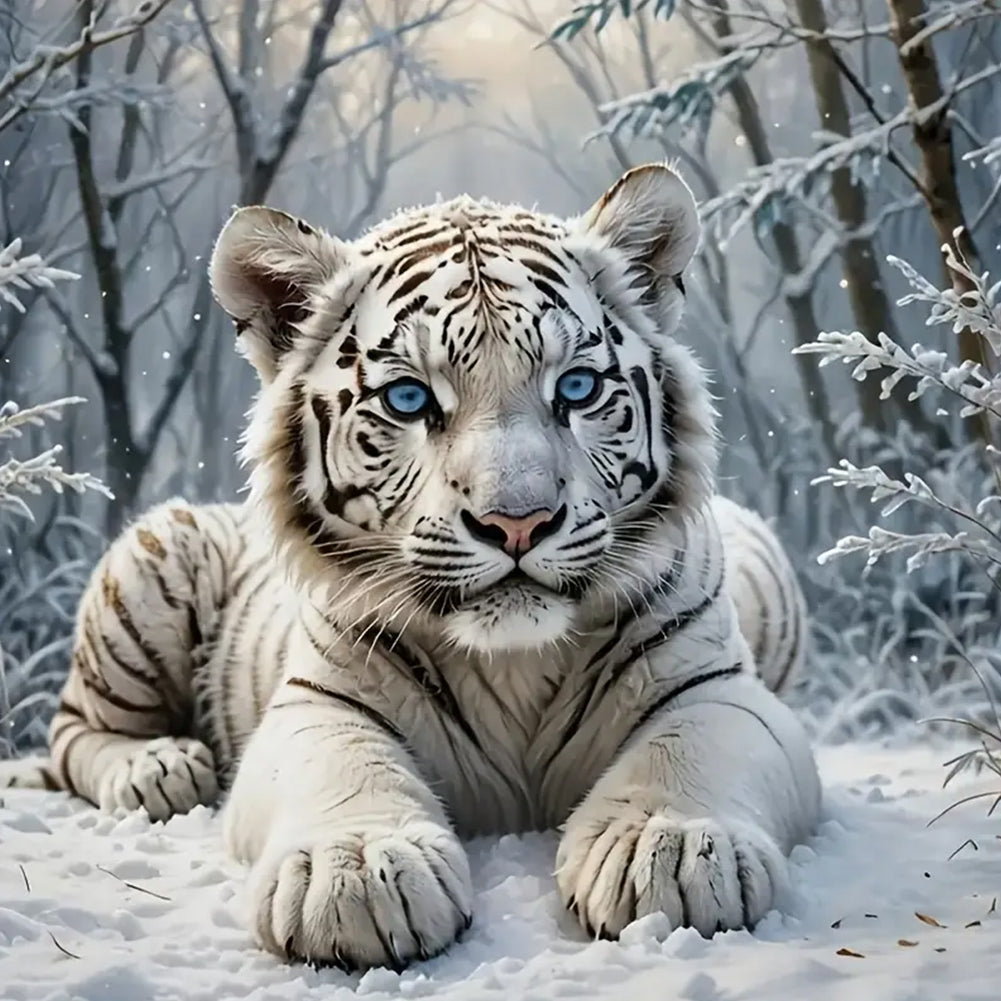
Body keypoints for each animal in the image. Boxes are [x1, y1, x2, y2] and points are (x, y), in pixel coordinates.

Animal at [1, 164, 820, 971]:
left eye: (577, 388)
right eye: (407, 397)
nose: (517, 521)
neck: (514, 661)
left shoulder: (717, 687)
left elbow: (687, 751)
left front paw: (668, 847)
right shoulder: (317, 701)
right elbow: (343, 765)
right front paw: (359, 871)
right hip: (153, 561)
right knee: (74, 731)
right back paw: (160, 769)